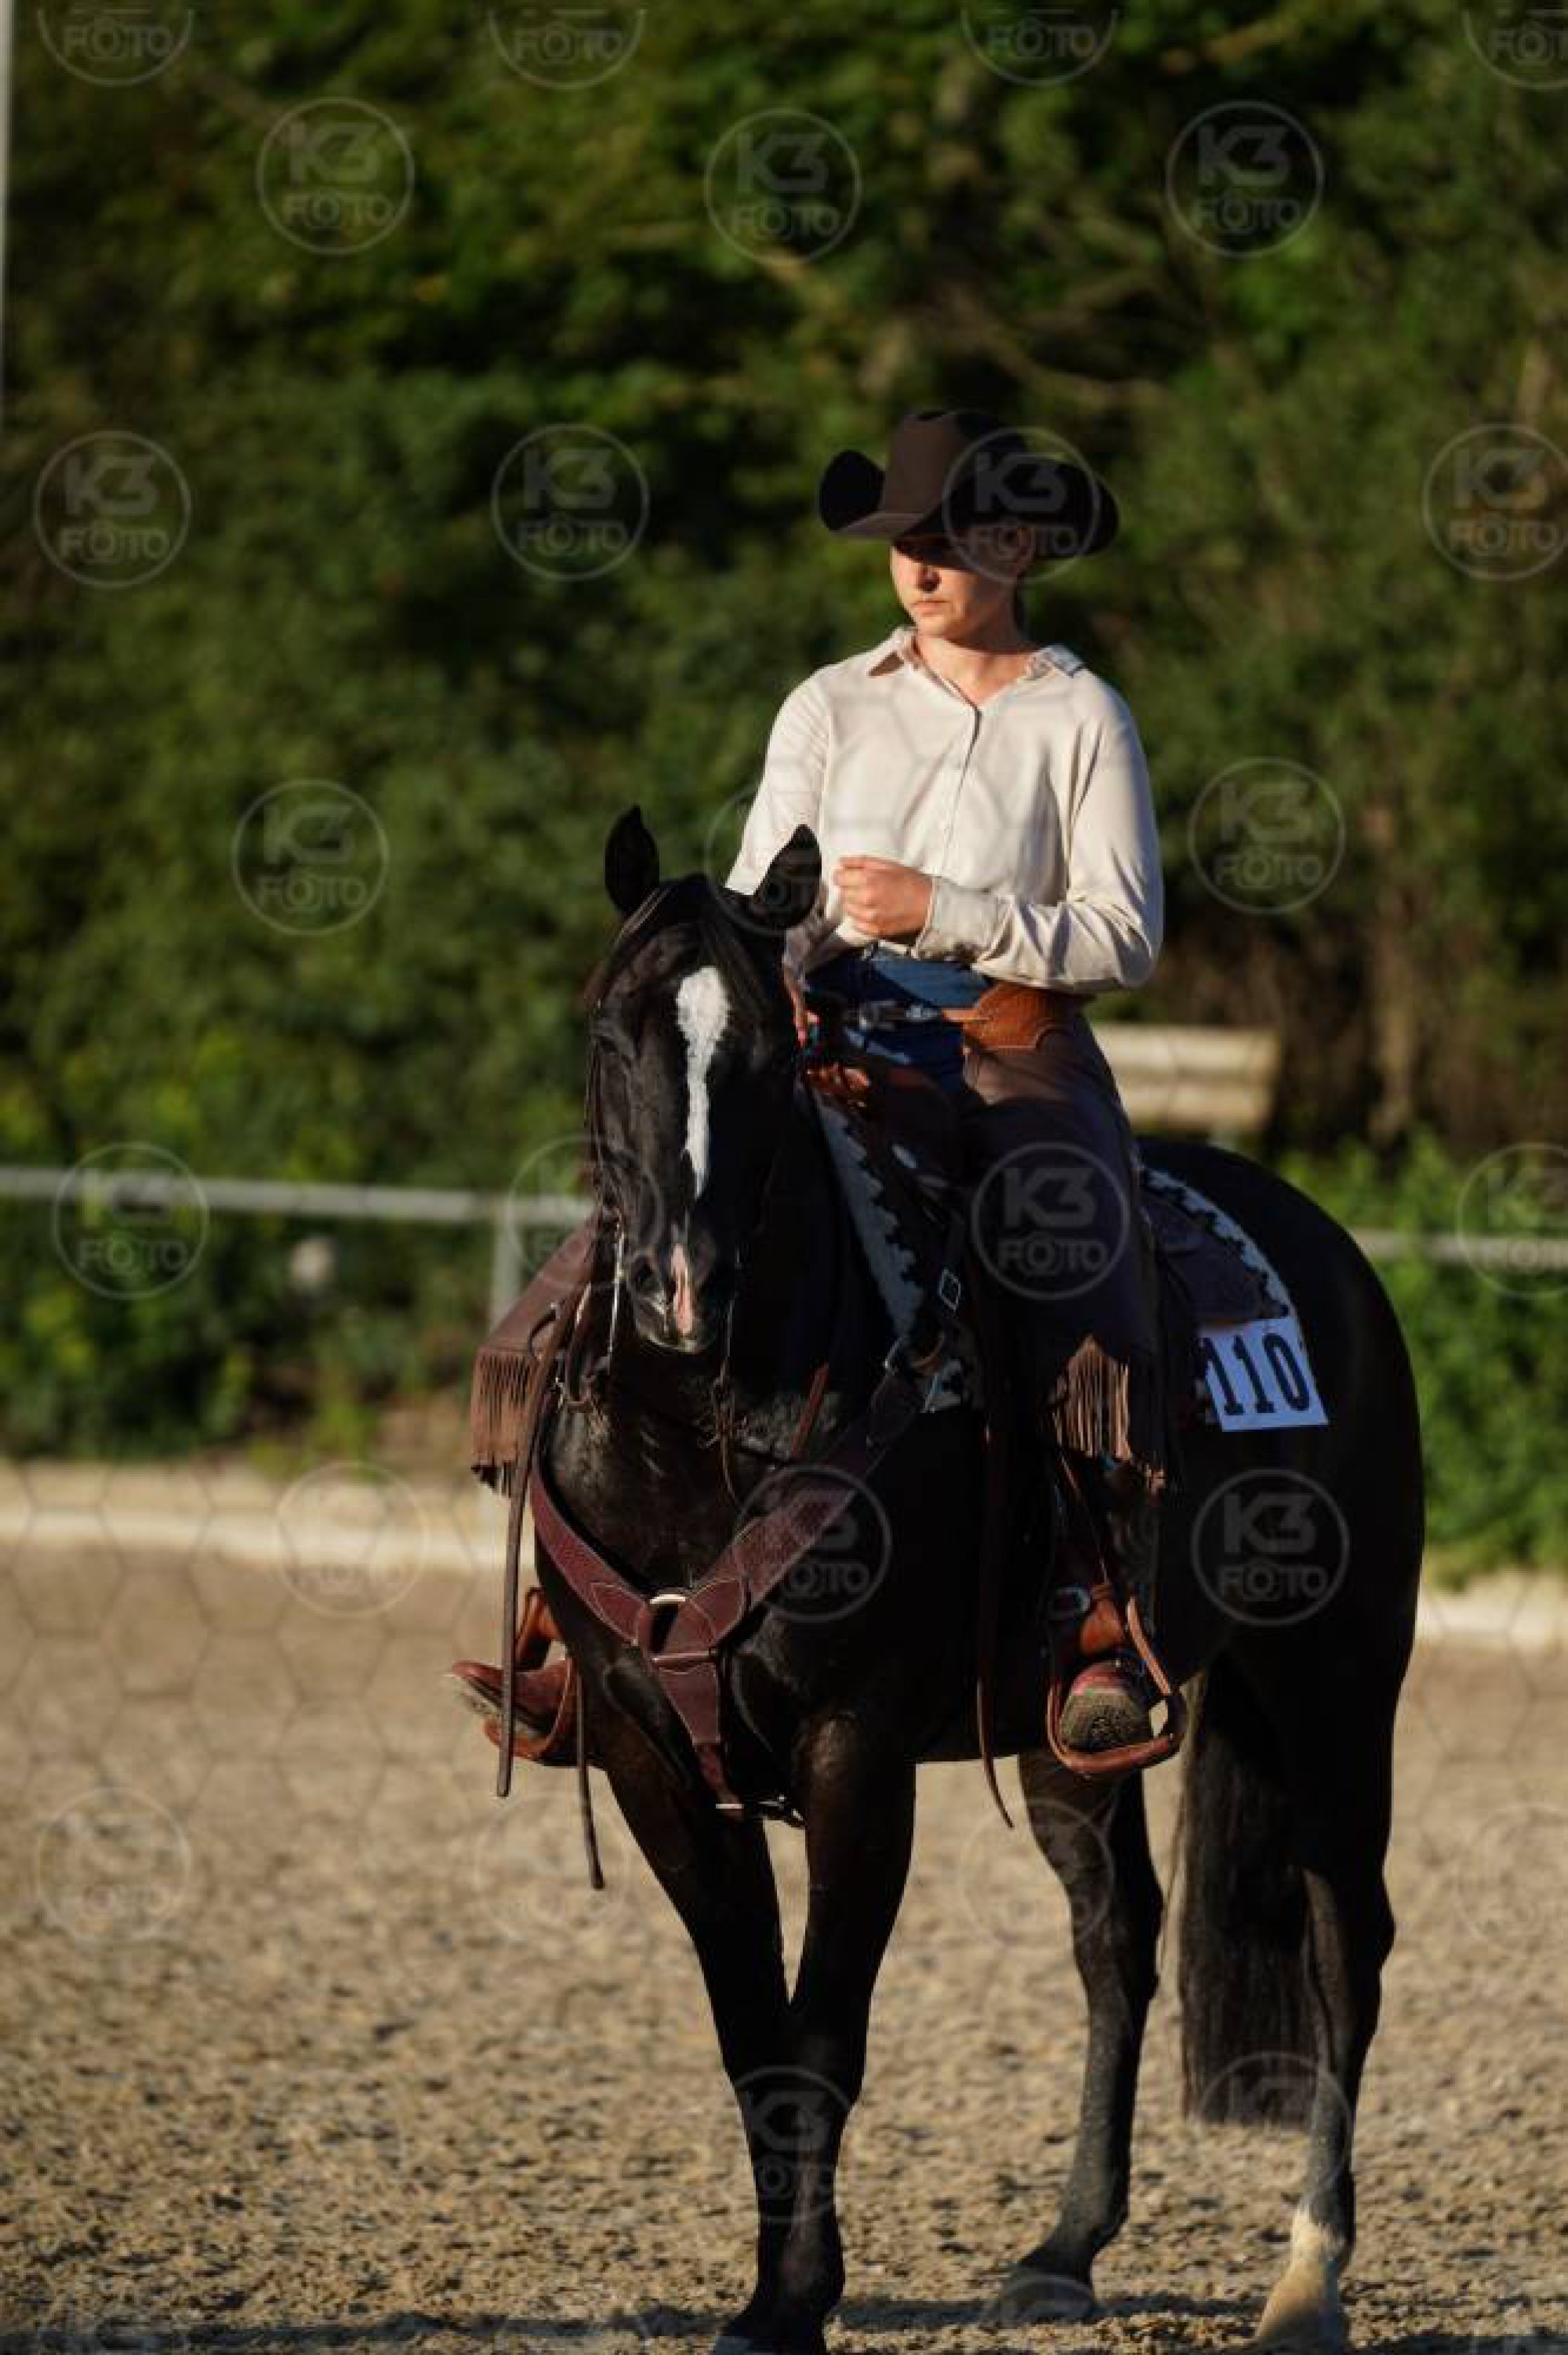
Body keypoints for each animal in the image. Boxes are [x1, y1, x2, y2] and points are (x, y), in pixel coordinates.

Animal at [526, 804, 1423, 2355]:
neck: (711, 1427)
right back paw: (1066, 2246)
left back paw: (1309, 2275)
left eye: (768, 1050)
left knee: (1341, 1944)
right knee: (1118, 1938)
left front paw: (795, 2299)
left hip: (1335, 1680)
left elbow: (824, 2030)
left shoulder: (858, 1751)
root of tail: (1331, 1251)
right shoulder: (652, 1755)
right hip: (1078, 1731)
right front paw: (770, 2289)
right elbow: (751, 2034)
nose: (684, 1288)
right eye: (607, 1030)